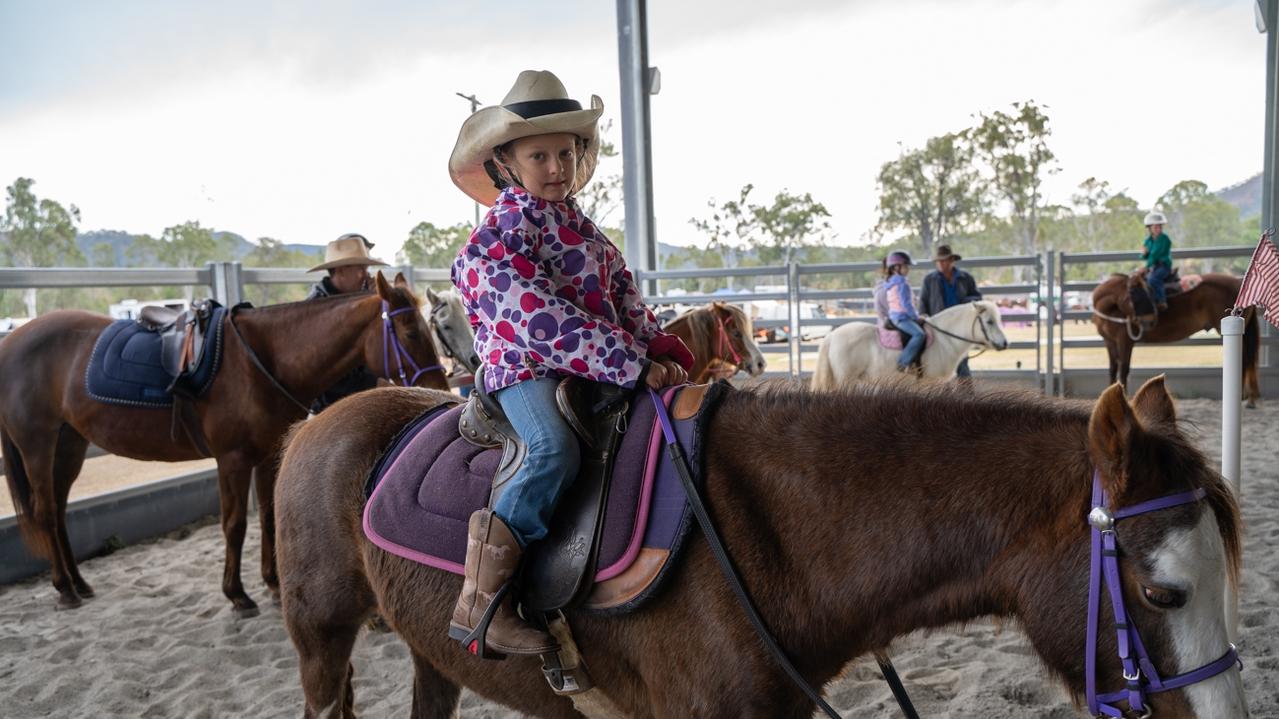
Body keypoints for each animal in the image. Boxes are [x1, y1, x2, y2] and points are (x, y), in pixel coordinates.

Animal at [0, 271, 450, 614]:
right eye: (410, 330)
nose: (438, 389)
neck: (261, 361)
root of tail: (11, 341)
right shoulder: (232, 459)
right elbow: (235, 524)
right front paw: (237, 594)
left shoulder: (267, 455)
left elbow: (268, 516)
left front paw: (272, 583)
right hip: (37, 444)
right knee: (45, 511)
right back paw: (65, 589)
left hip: (70, 443)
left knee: (58, 510)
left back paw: (79, 582)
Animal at [1089, 271, 1258, 404]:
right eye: (1136, 294)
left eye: (1145, 294)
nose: (1150, 321)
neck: (1110, 308)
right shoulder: (1109, 341)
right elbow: (1113, 369)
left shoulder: (1125, 341)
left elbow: (1123, 370)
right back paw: (1250, 399)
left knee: (1245, 361)